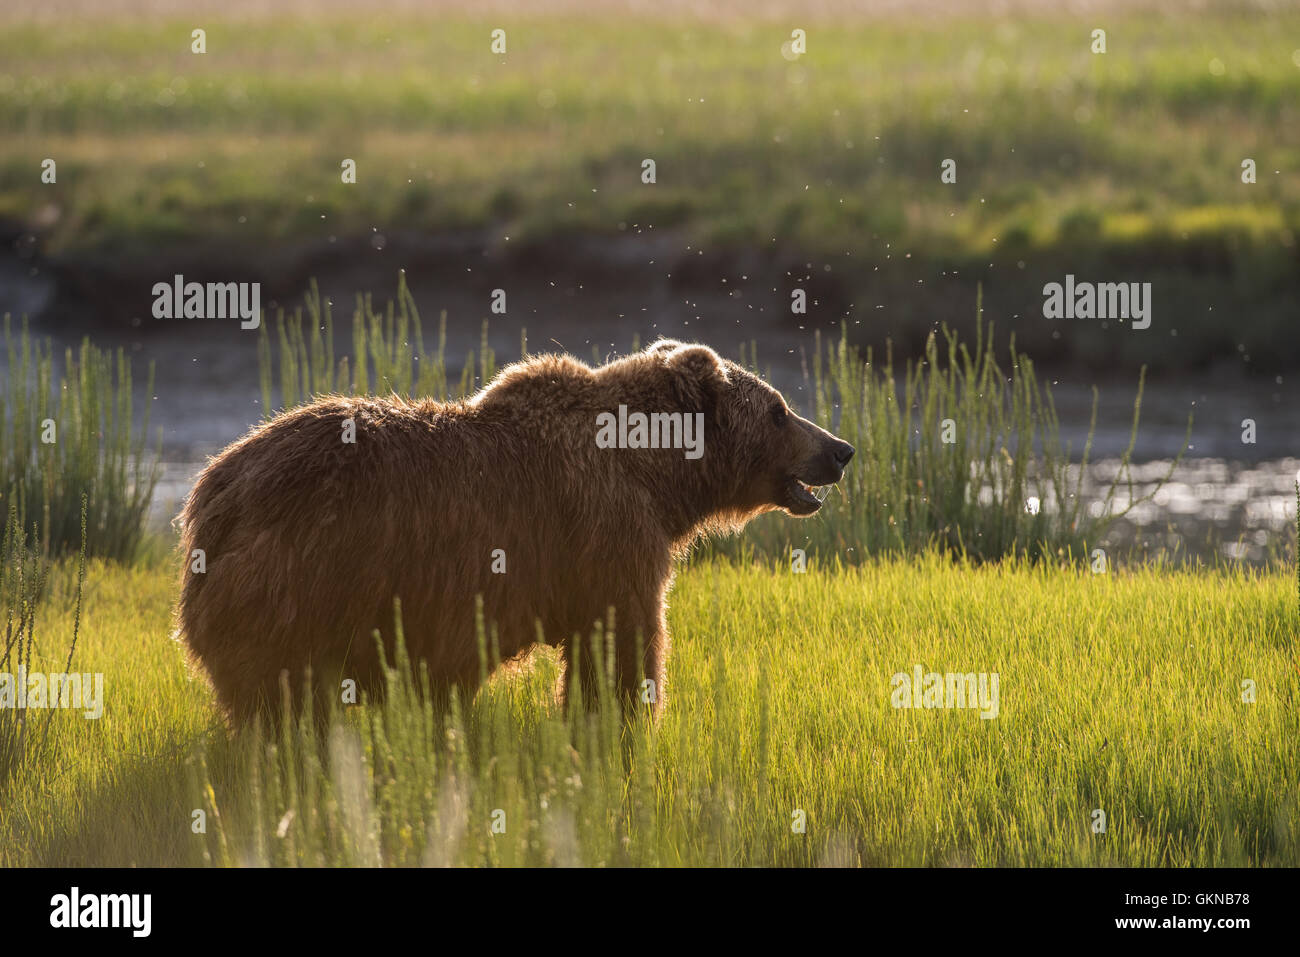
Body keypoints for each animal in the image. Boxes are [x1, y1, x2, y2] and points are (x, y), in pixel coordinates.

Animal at [175, 339, 854, 727]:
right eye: (780, 410)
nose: (841, 449)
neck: (655, 473)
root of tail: (208, 498)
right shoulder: (606, 530)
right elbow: (623, 638)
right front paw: (620, 725)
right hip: (308, 581)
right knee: (285, 701)